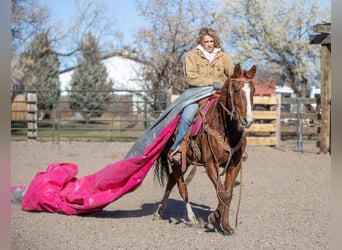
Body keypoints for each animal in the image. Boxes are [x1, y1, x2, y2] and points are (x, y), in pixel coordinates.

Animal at [153, 62, 256, 234]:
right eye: (236, 90)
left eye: (253, 91)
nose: (247, 120)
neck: (224, 130)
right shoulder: (210, 164)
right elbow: (221, 191)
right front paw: (214, 218)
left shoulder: (234, 166)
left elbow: (228, 193)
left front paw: (225, 225)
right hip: (176, 160)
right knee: (181, 186)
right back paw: (192, 218)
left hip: (186, 162)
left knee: (171, 181)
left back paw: (158, 211)